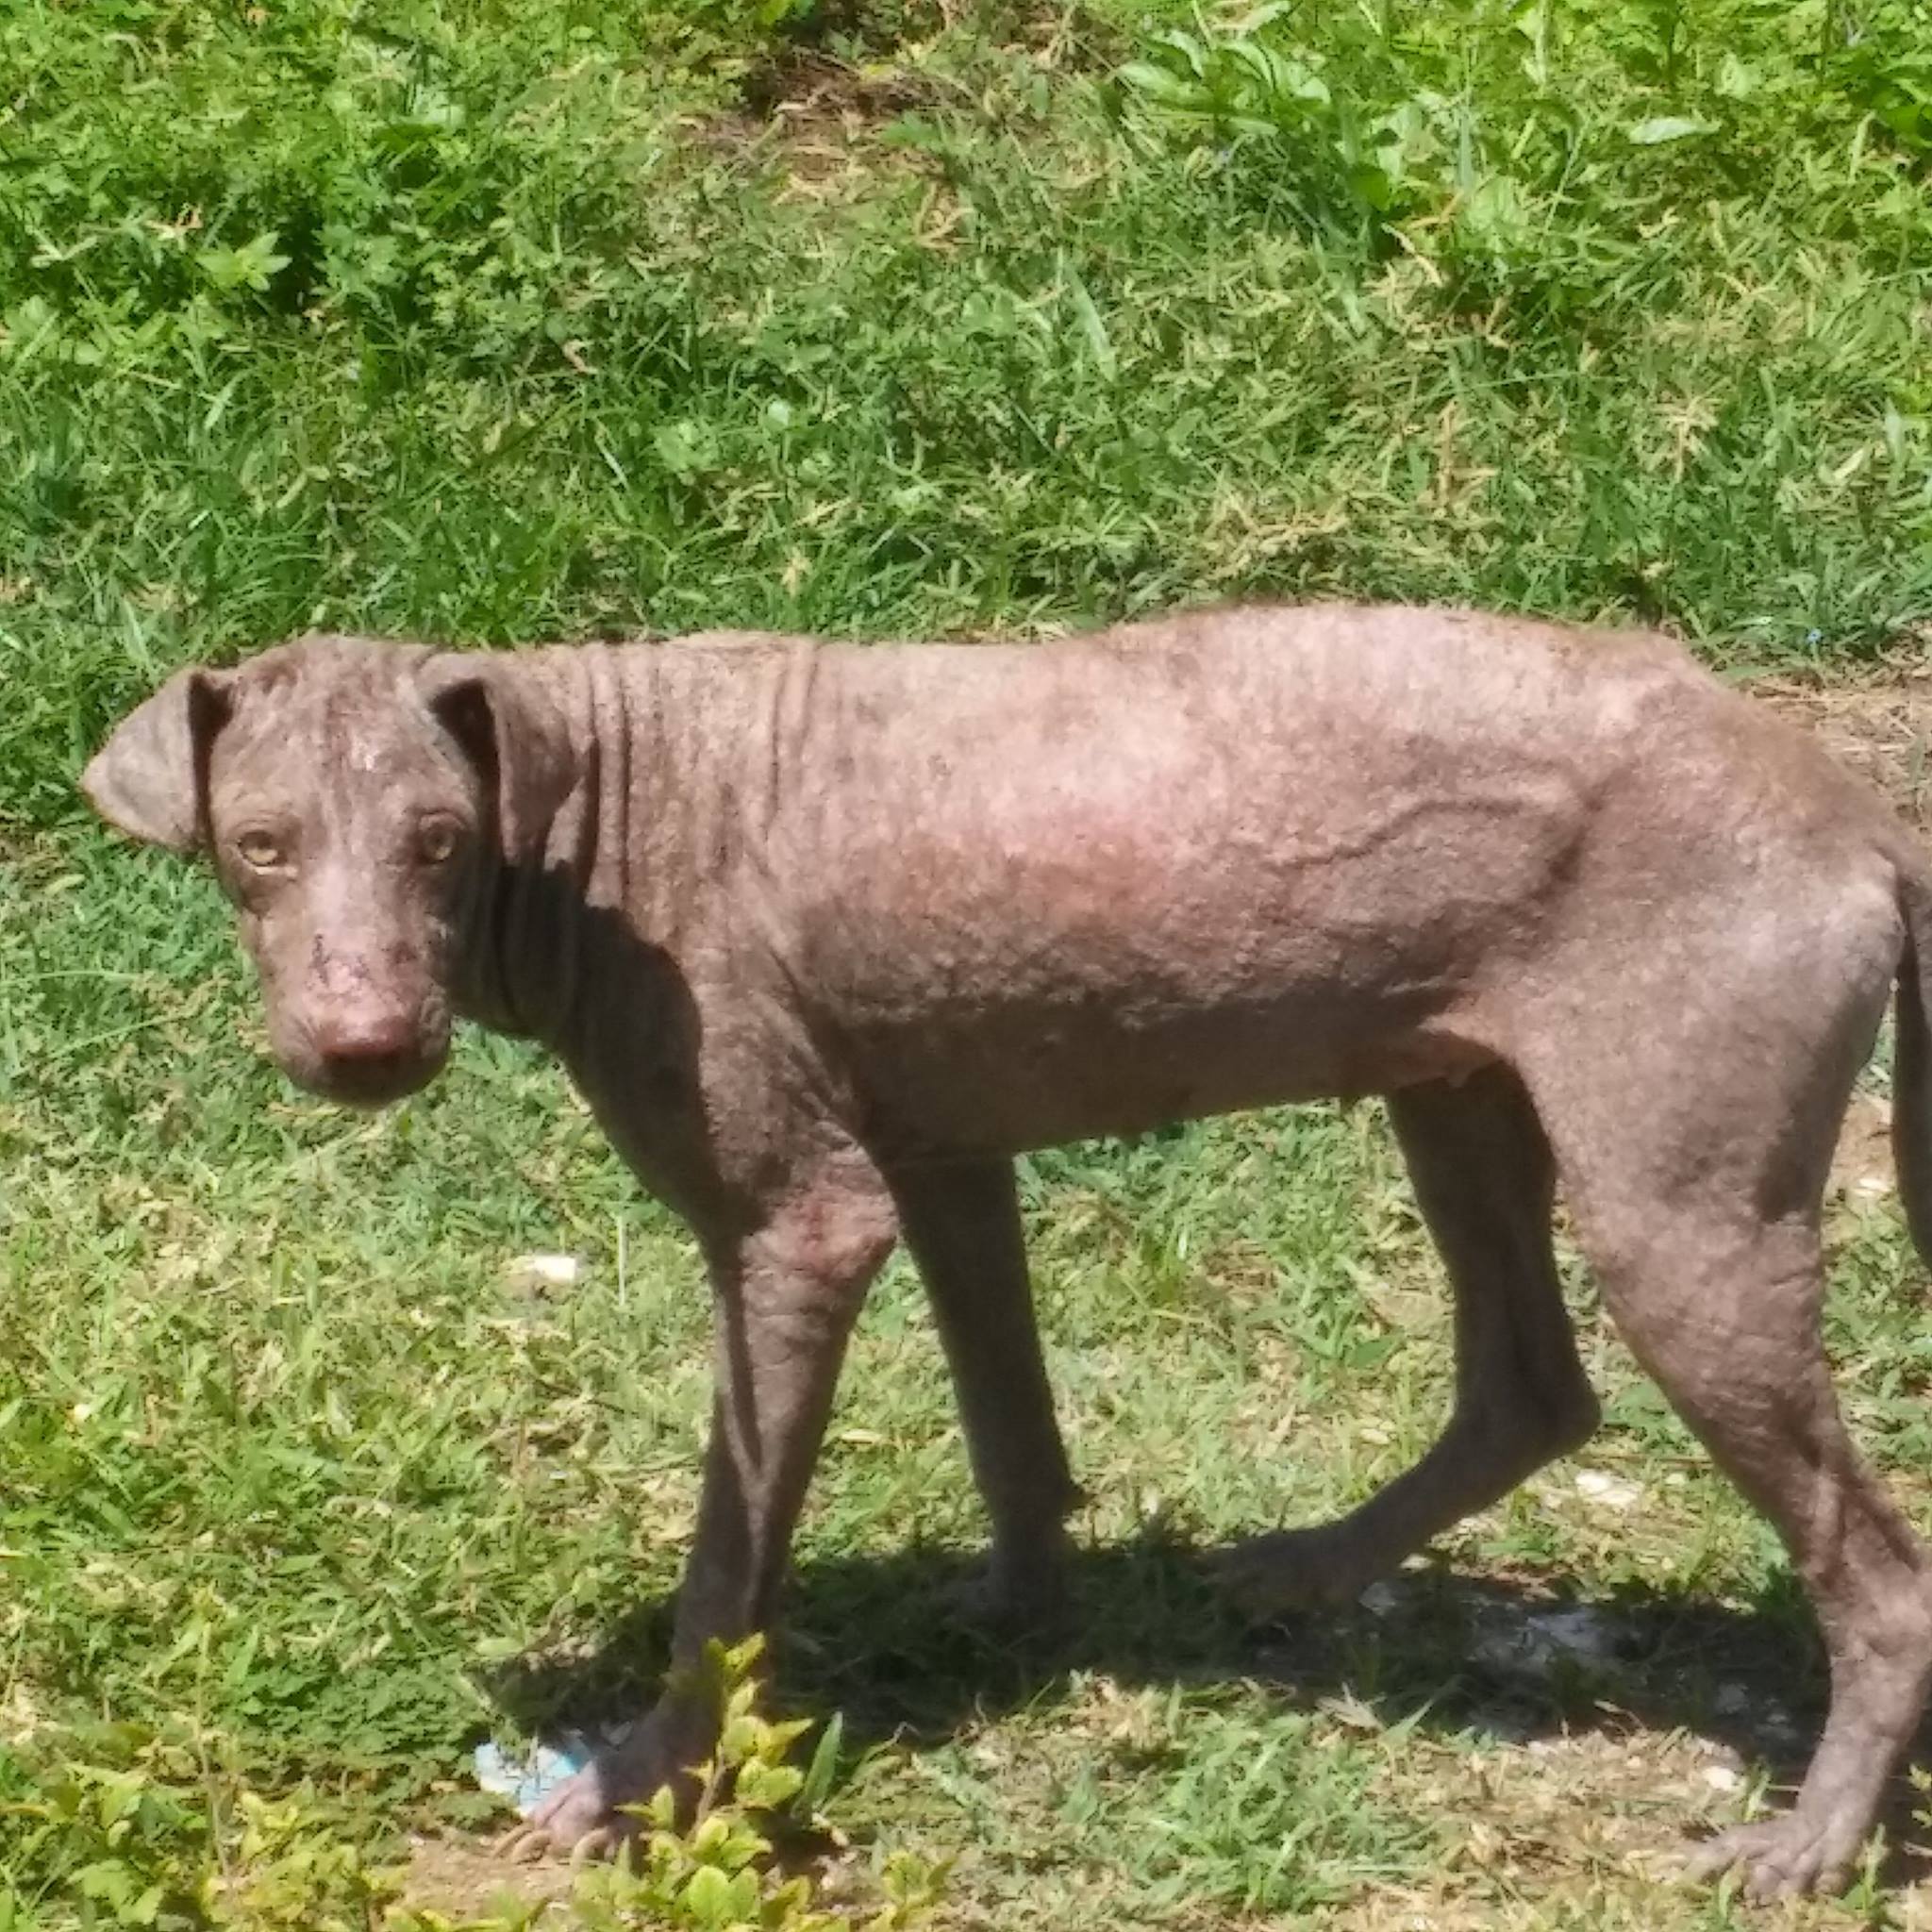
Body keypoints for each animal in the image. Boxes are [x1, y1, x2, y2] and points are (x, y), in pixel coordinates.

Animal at [87, 607, 1932, 1901]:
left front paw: (639, 1790)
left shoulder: (802, 1218)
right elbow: (1007, 1418)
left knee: (1876, 1570)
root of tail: (1854, 808)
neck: (603, 807)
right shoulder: (940, 1151)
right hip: (1456, 1088)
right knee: (1529, 1391)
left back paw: (1808, 1845)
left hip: (1680, 1201)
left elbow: (722, 1577)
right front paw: (1017, 1619)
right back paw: (1297, 1570)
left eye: (439, 843)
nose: (364, 1045)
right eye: (259, 843)